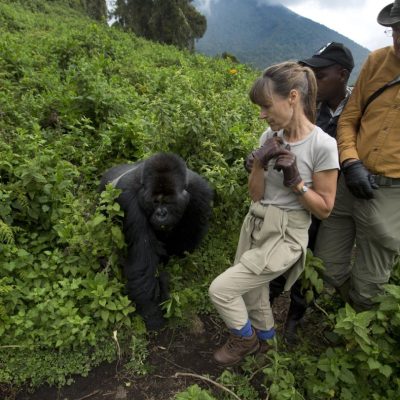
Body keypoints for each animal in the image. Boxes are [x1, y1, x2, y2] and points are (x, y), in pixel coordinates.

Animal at [99, 152, 214, 330]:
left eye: (168, 202)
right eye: (155, 202)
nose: (161, 214)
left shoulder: (200, 193)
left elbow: (188, 240)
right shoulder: (129, 199)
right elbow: (143, 262)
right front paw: (152, 314)